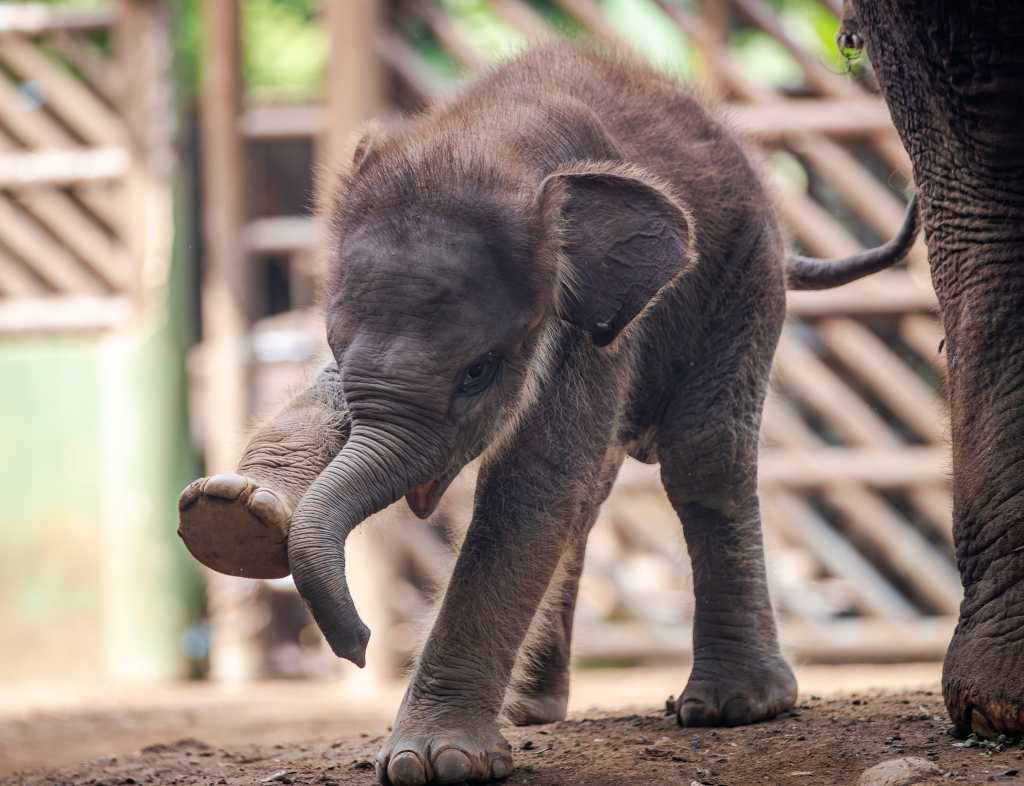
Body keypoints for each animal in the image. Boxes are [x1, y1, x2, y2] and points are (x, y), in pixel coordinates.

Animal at [178, 44, 921, 786]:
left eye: (478, 372)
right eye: (333, 342)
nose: (358, 647)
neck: (493, 139)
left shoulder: (587, 321)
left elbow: (531, 482)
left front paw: (437, 762)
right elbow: (325, 398)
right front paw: (231, 514)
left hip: (745, 272)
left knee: (703, 455)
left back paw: (734, 707)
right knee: (593, 497)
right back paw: (533, 709)